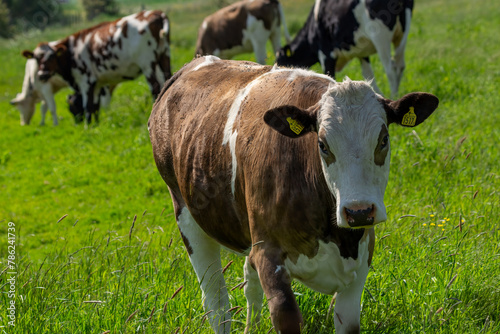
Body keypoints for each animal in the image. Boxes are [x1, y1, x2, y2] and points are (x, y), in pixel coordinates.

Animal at [22, 11, 171, 125]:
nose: (41, 74)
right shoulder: (98, 84)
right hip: (164, 57)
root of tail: (156, 13)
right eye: (36, 58)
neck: (72, 51)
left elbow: (88, 106)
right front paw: (97, 125)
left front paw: (88, 127)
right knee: (167, 80)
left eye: (52, 57)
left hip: (147, 64)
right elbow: (95, 106)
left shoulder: (86, 81)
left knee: (155, 88)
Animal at [149, 56, 438, 334]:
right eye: (322, 144)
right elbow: (286, 317)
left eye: (383, 139)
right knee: (217, 304)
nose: (359, 211)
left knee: (248, 284)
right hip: (187, 216)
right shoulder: (268, 254)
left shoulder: (362, 258)